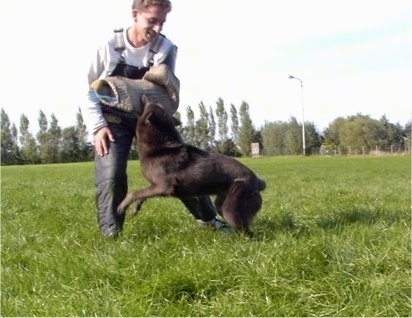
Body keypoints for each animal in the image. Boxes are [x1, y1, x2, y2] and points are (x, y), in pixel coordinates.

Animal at [118, 95, 268, 235]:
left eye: (152, 104)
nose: (143, 96)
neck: (160, 148)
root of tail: (257, 181)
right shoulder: (155, 187)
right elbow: (141, 195)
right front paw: (135, 208)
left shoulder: (163, 186)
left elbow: (134, 193)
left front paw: (122, 206)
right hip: (222, 203)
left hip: (230, 208)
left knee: (248, 233)